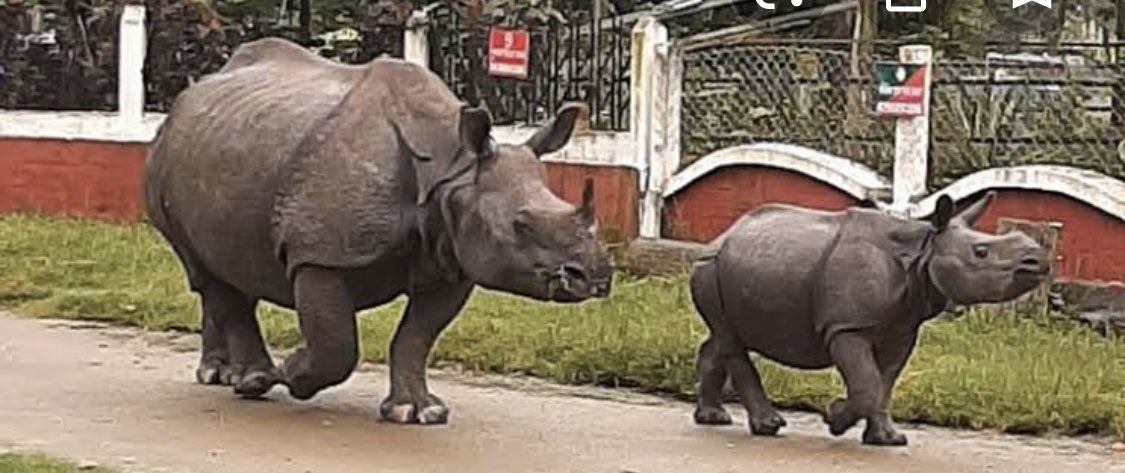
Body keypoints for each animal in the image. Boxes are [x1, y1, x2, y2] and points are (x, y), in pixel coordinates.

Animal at [144, 38, 613, 424]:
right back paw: (251, 381)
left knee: (229, 265)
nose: (596, 278)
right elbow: (337, 346)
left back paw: (222, 375)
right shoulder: (319, 253)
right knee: (205, 269)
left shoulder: (453, 259)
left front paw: (417, 413)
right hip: (164, 160)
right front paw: (294, 374)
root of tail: (190, 93)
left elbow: (416, 338)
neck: (454, 170)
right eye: (520, 225)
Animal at [688, 192, 1050, 446]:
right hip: (709, 265)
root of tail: (722, 234)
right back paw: (768, 427)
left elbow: (884, 382)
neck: (923, 249)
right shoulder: (848, 327)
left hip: (735, 265)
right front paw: (834, 418)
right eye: (981, 252)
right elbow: (867, 384)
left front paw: (887, 440)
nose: (1039, 260)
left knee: (722, 336)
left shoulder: (903, 329)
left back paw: (713, 418)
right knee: (730, 339)